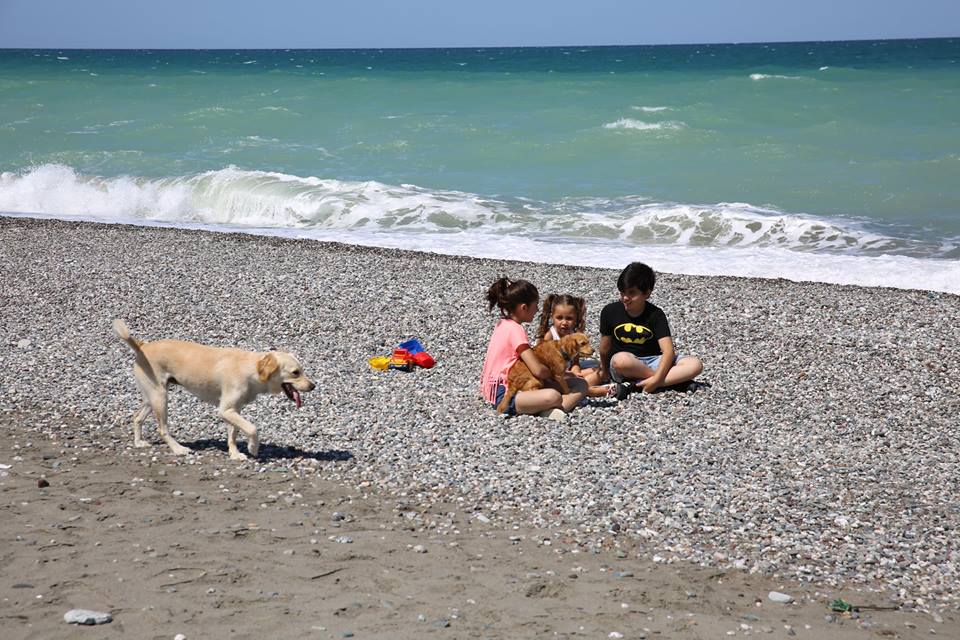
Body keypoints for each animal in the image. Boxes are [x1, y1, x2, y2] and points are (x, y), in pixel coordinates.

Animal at [112, 320, 316, 460]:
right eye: (296, 372)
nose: (313, 386)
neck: (252, 369)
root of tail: (142, 346)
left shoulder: (234, 410)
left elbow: (233, 434)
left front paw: (235, 454)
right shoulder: (225, 410)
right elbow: (252, 428)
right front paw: (253, 448)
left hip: (152, 397)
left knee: (137, 417)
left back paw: (139, 442)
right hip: (160, 398)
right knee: (162, 429)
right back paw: (179, 449)